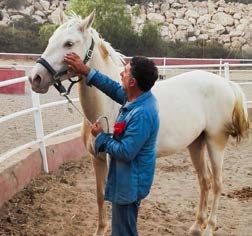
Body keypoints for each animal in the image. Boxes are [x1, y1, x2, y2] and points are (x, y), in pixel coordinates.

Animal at [28, 12, 249, 236]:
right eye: (50, 40)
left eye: (69, 43)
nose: (35, 78)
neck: (108, 105)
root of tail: (226, 84)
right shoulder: (96, 158)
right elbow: (99, 195)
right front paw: (100, 230)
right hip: (196, 143)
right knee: (205, 181)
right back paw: (197, 226)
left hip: (215, 143)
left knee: (218, 184)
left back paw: (209, 228)